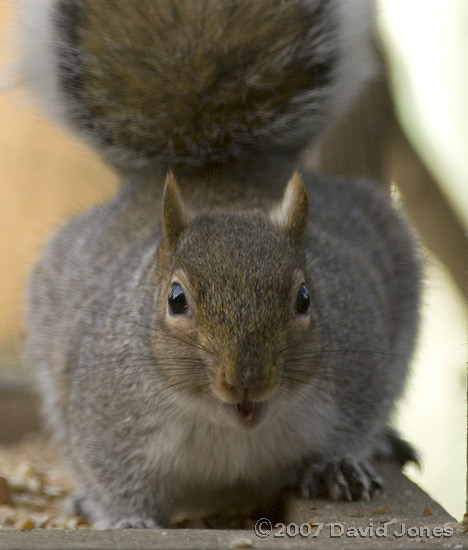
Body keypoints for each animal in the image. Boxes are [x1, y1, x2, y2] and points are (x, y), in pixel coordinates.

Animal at [20, 0, 420, 532]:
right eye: (176, 300)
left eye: (304, 298)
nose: (246, 382)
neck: (232, 426)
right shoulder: (105, 416)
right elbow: (110, 475)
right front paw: (129, 522)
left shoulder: (360, 364)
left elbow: (359, 420)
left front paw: (339, 465)